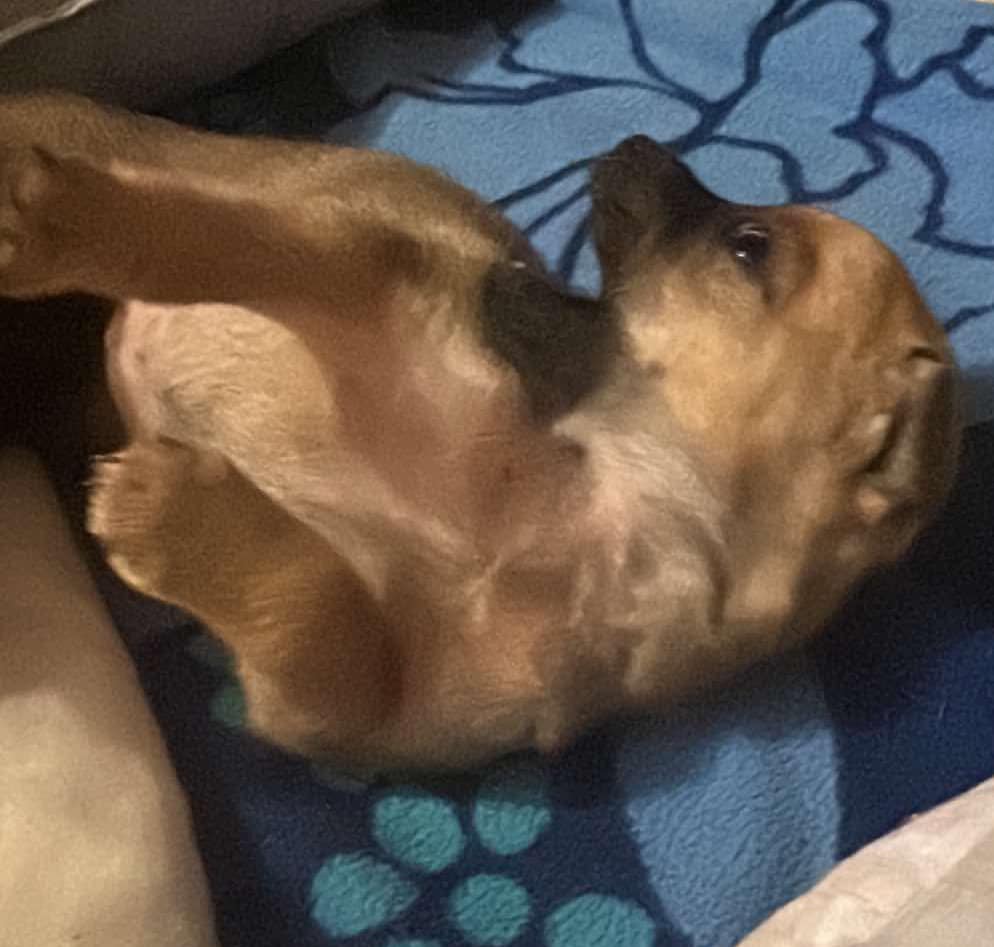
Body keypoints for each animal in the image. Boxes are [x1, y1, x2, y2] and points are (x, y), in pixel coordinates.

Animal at [0, 93, 960, 775]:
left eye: (749, 244)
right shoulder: (353, 263)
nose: (639, 140)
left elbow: (323, 611)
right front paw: (54, 218)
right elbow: (210, 239)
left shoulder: (346, 708)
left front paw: (171, 507)